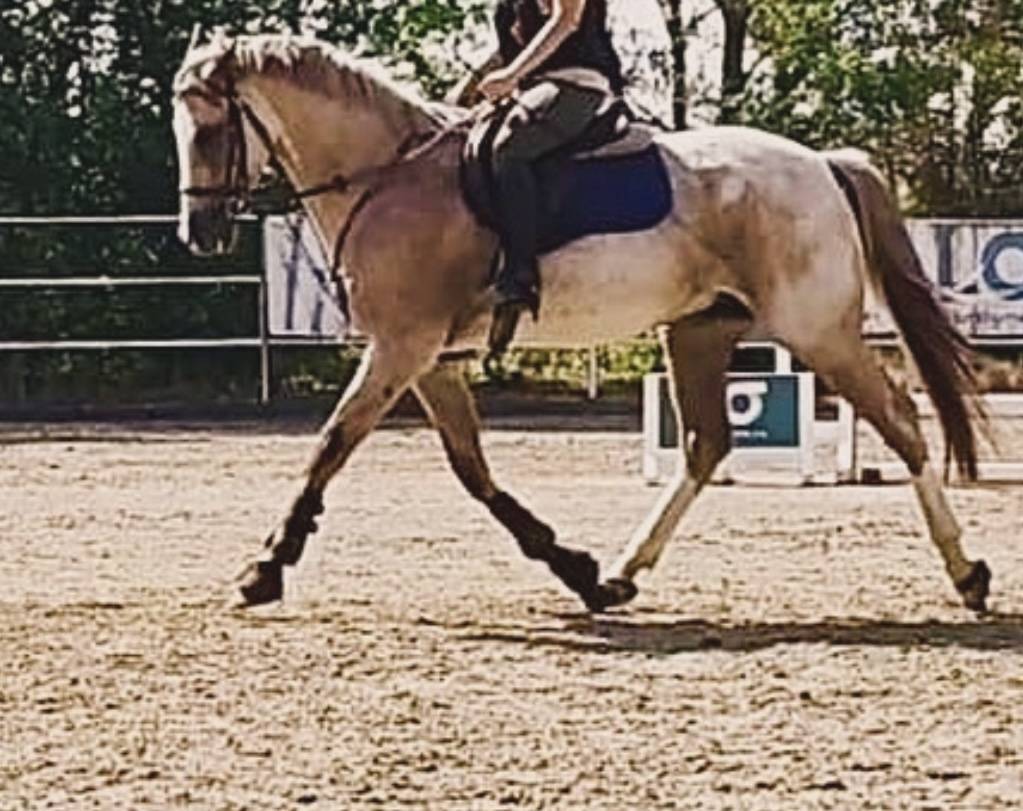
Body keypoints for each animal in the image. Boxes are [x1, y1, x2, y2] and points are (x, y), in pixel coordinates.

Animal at [171, 32, 991, 614]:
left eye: (209, 131)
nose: (198, 233)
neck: (388, 177)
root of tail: (820, 163)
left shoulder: (401, 348)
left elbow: (330, 447)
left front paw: (265, 569)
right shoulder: (430, 359)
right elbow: (473, 470)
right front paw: (576, 570)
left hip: (817, 331)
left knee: (901, 424)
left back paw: (967, 572)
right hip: (699, 330)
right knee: (706, 445)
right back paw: (625, 573)